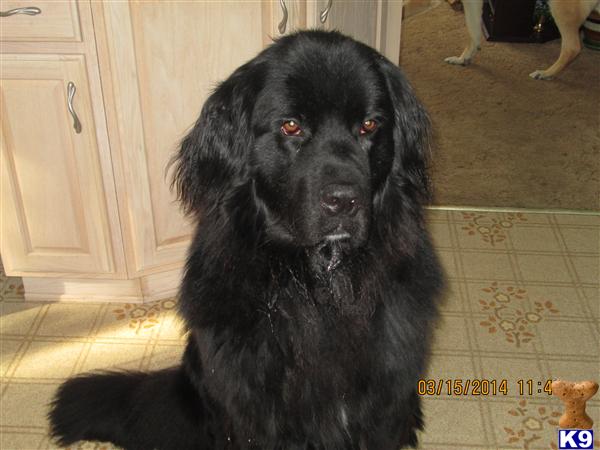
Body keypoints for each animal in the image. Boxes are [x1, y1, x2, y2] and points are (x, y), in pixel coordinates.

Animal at [49, 29, 442, 448]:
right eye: (291, 126)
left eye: (369, 125)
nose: (344, 200)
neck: (317, 286)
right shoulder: (256, 411)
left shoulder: (380, 403)